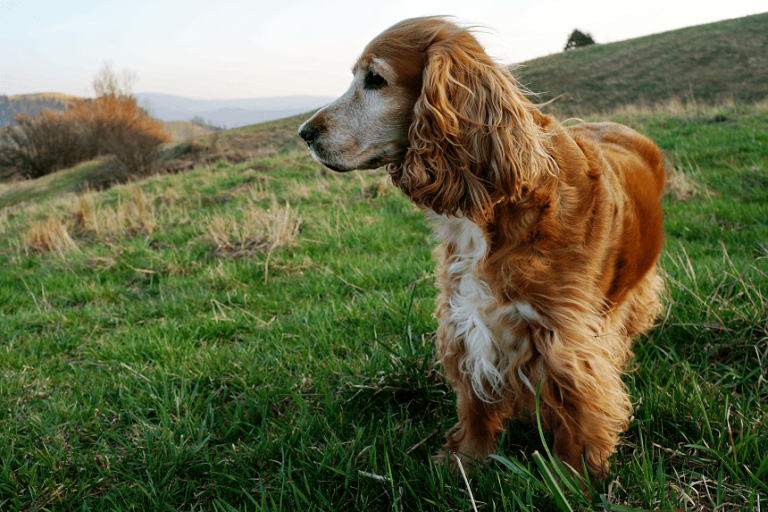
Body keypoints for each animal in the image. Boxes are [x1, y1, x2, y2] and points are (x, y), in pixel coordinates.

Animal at [300, 17, 664, 480]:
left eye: (375, 79)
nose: (304, 133)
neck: (491, 208)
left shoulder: (562, 337)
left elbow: (578, 410)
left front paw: (573, 477)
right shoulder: (464, 318)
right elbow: (474, 400)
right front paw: (465, 461)